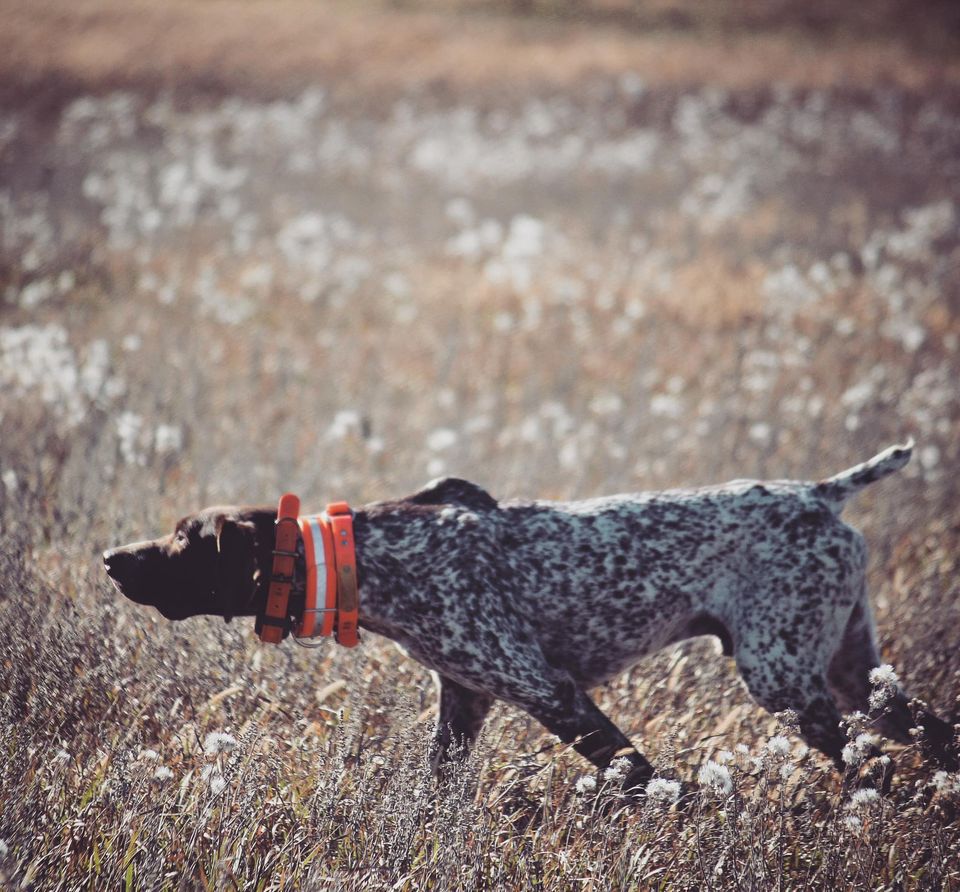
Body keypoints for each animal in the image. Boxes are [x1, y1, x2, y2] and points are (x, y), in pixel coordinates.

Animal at [101, 440, 956, 788]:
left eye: (183, 540)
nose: (111, 558)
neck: (373, 558)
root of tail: (821, 493)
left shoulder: (551, 692)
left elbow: (642, 778)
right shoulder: (465, 703)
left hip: (785, 678)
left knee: (873, 763)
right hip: (850, 673)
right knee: (932, 738)